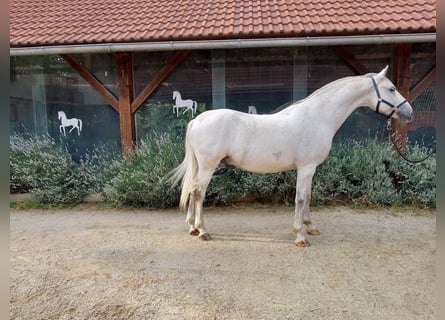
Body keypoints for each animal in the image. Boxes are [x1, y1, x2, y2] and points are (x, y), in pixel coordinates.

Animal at [169, 67, 412, 248]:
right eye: (391, 88)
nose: (409, 112)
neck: (318, 117)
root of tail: (197, 120)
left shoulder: (311, 169)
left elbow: (309, 197)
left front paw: (310, 227)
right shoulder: (306, 167)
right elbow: (301, 198)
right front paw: (300, 236)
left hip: (201, 166)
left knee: (192, 190)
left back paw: (192, 227)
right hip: (208, 166)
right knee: (199, 193)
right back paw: (203, 231)